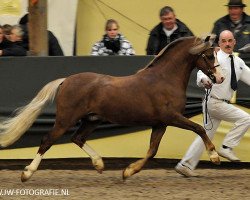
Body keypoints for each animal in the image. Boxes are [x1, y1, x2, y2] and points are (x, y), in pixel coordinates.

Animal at [0, 35, 224, 182]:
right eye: (209, 55)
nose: (220, 78)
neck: (165, 79)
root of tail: (65, 81)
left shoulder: (160, 123)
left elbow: (152, 151)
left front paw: (128, 171)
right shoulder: (172, 117)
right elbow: (199, 128)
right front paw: (214, 156)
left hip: (92, 120)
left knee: (77, 138)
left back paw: (99, 164)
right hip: (65, 120)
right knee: (47, 140)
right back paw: (27, 173)